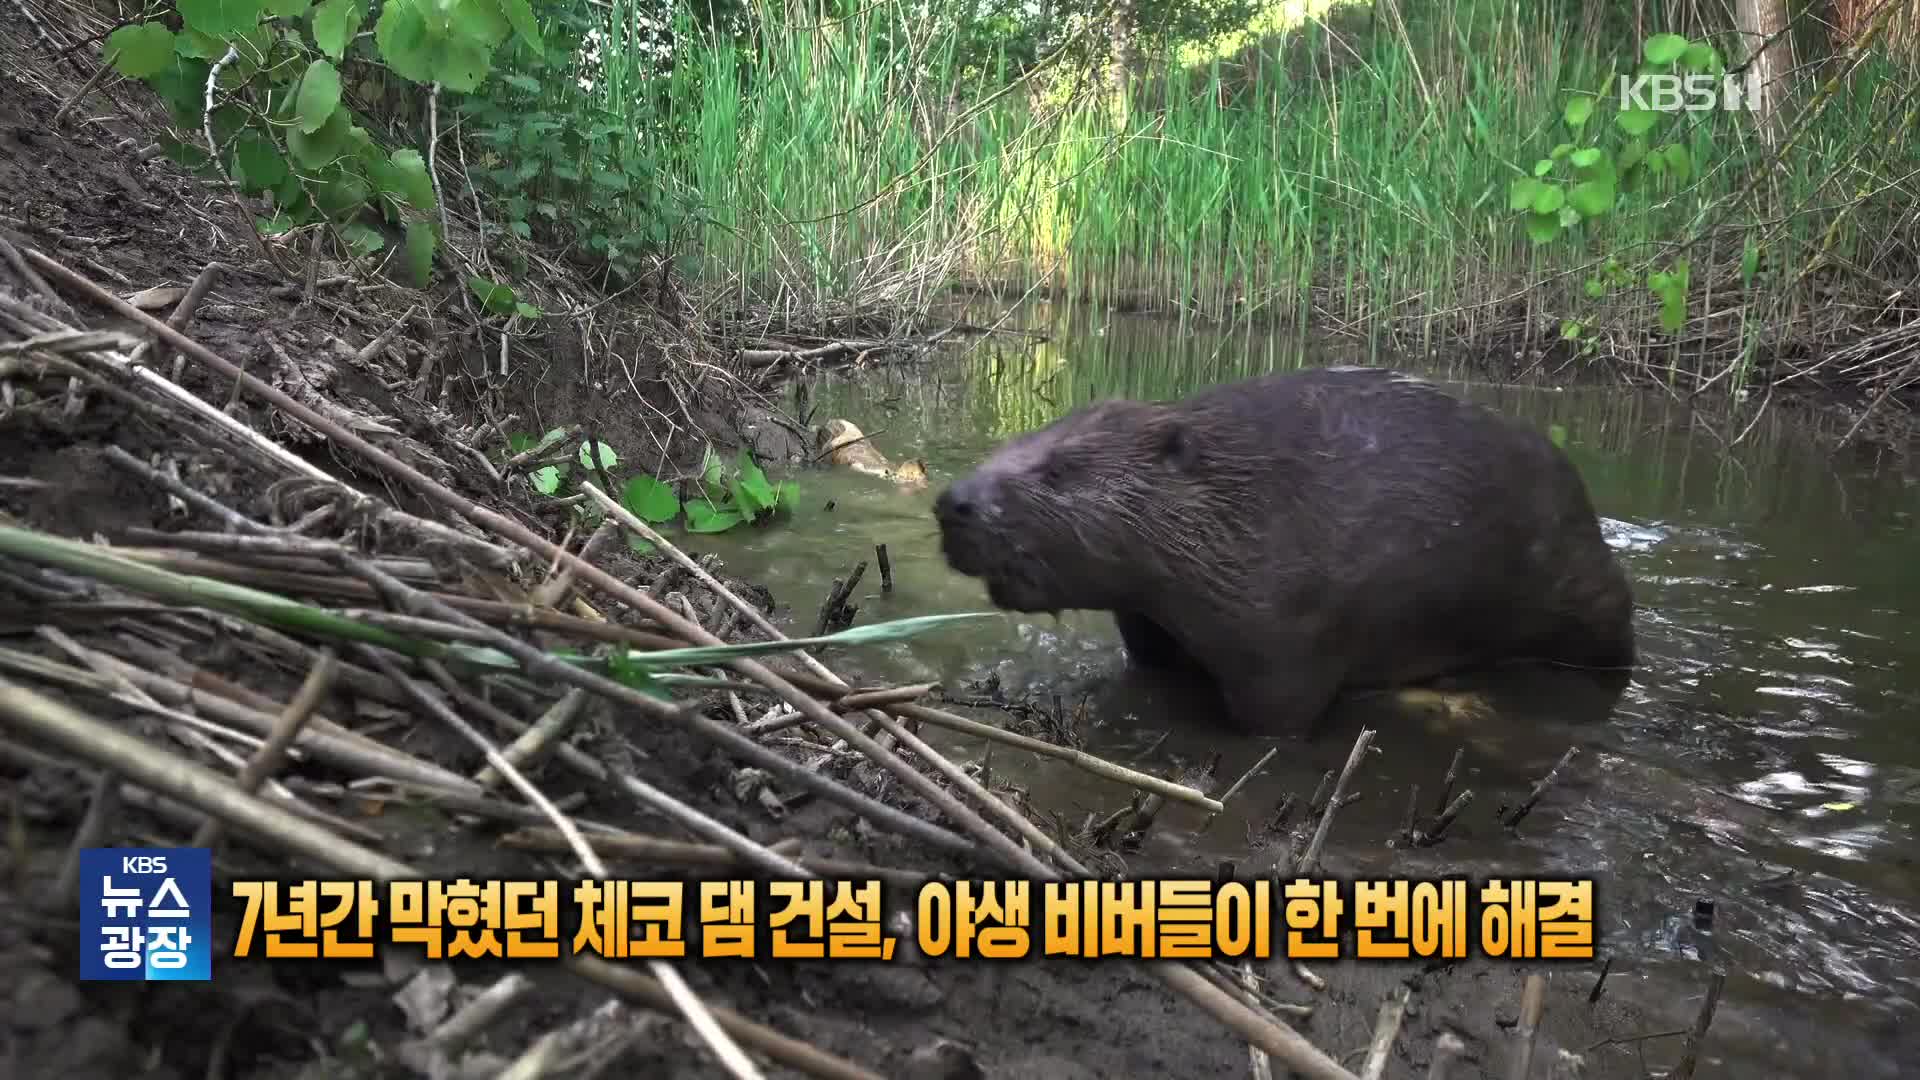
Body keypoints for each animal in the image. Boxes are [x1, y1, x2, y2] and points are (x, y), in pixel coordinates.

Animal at [929, 365, 1635, 734]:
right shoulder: (1147, 617)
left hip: (1583, 593)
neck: (1239, 503)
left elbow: (1277, 712)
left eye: (1059, 471)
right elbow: (1150, 659)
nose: (951, 503)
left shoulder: (1289, 631)